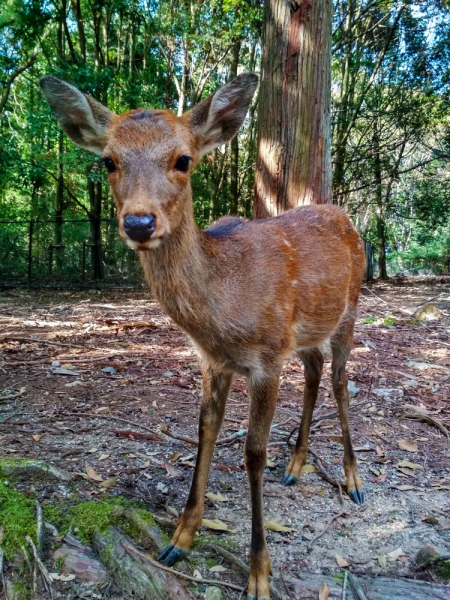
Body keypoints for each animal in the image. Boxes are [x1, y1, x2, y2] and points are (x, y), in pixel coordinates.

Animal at [41, 74, 366, 600]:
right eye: (108, 160)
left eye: (183, 160)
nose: (139, 222)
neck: (223, 316)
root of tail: (347, 217)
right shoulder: (214, 360)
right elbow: (205, 430)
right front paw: (180, 538)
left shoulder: (266, 357)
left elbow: (252, 453)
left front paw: (259, 574)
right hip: (306, 334)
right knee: (316, 372)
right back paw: (295, 467)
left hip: (350, 310)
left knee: (340, 381)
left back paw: (354, 480)